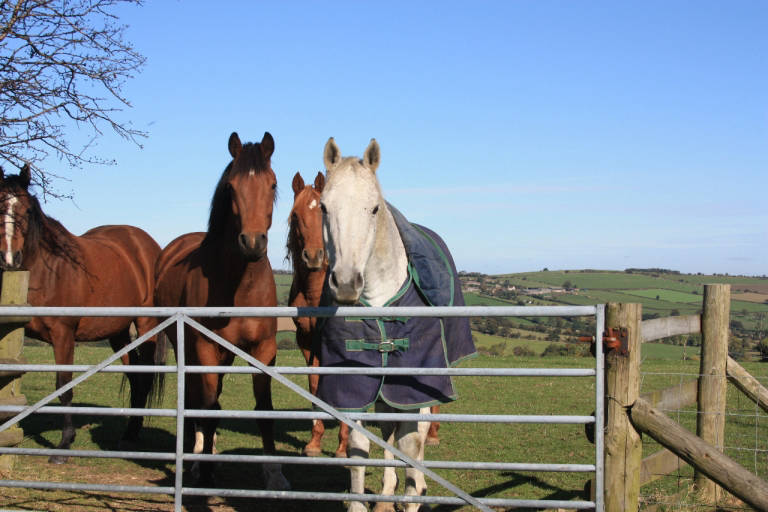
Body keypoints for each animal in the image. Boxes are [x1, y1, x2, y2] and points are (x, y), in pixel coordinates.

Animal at [0, 164, 165, 464]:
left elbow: (64, 385)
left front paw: (65, 444)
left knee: (145, 377)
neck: (46, 269)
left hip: (146, 325)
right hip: (118, 333)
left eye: (27, 211)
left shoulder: (63, 334)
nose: (9, 258)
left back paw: (133, 433)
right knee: (134, 376)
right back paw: (129, 433)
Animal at [154, 131, 289, 490]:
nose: (252, 243)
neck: (239, 287)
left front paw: (274, 474)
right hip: (188, 347)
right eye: (231, 186)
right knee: (197, 399)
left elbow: (264, 409)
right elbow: (209, 406)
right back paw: (196, 457)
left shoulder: (263, 349)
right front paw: (205, 471)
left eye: (272, 184)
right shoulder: (204, 346)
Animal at [317, 138, 475, 512]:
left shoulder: (413, 386)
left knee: (417, 435)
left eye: (374, 208)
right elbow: (360, 449)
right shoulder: (356, 384)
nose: (346, 283)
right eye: (324, 208)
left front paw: (412, 496)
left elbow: (409, 446)